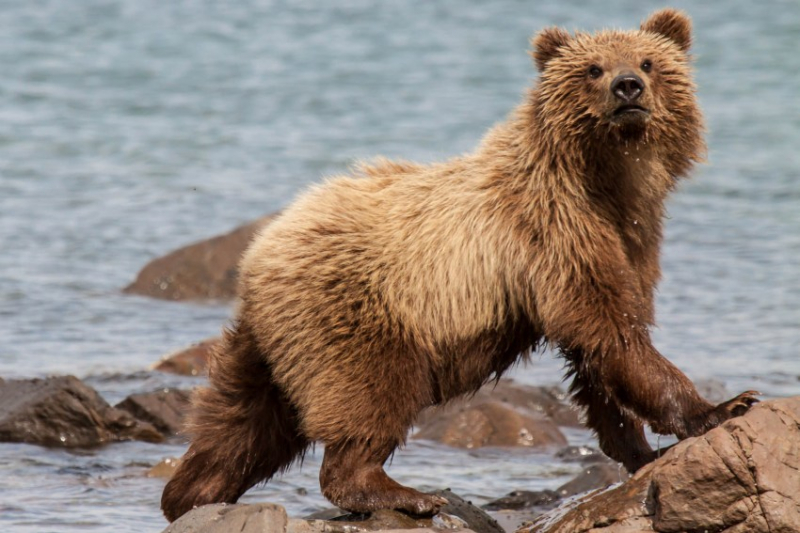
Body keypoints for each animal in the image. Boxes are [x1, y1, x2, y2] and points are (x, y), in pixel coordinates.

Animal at [161, 10, 756, 520]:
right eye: (594, 68)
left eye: (649, 61)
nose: (627, 86)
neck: (607, 181)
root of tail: (260, 252)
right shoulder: (554, 233)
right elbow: (611, 331)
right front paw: (724, 406)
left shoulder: (630, 241)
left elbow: (600, 351)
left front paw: (639, 450)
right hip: (357, 314)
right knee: (369, 395)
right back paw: (403, 494)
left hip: (271, 341)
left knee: (241, 421)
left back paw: (193, 493)